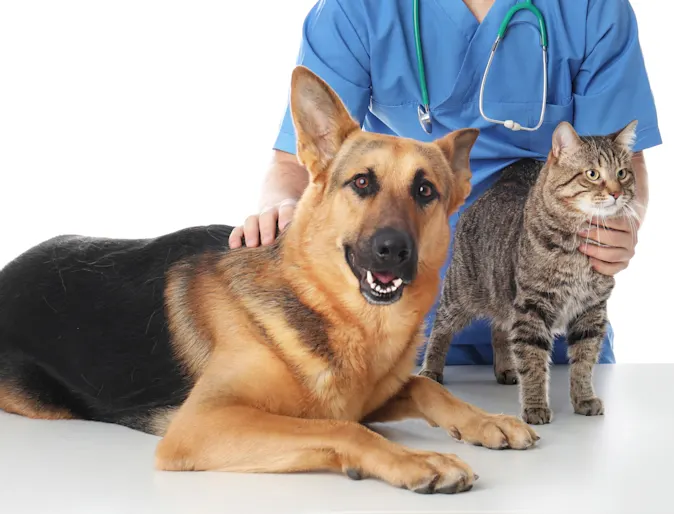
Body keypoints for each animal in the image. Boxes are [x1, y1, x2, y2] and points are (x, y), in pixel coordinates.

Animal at [0, 66, 536, 490]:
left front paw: (486, 421)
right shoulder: (203, 424)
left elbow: (428, 388)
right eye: (362, 182)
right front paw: (417, 459)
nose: (393, 249)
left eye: (425, 191)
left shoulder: (369, 398)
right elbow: (340, 428)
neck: (332, 309)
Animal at [420, 121, 636, 424]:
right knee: (440, 328)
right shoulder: (533, 308)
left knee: (500, 331)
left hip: (504, 299)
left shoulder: (591, 311)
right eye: (592, 174)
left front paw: (583, 398)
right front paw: (535, 406)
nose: (617, 192)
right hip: (460, 294)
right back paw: (431, 369)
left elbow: (584, 362)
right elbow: (533, 362)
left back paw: (505, 368)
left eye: (622, 173)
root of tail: (502, 186)